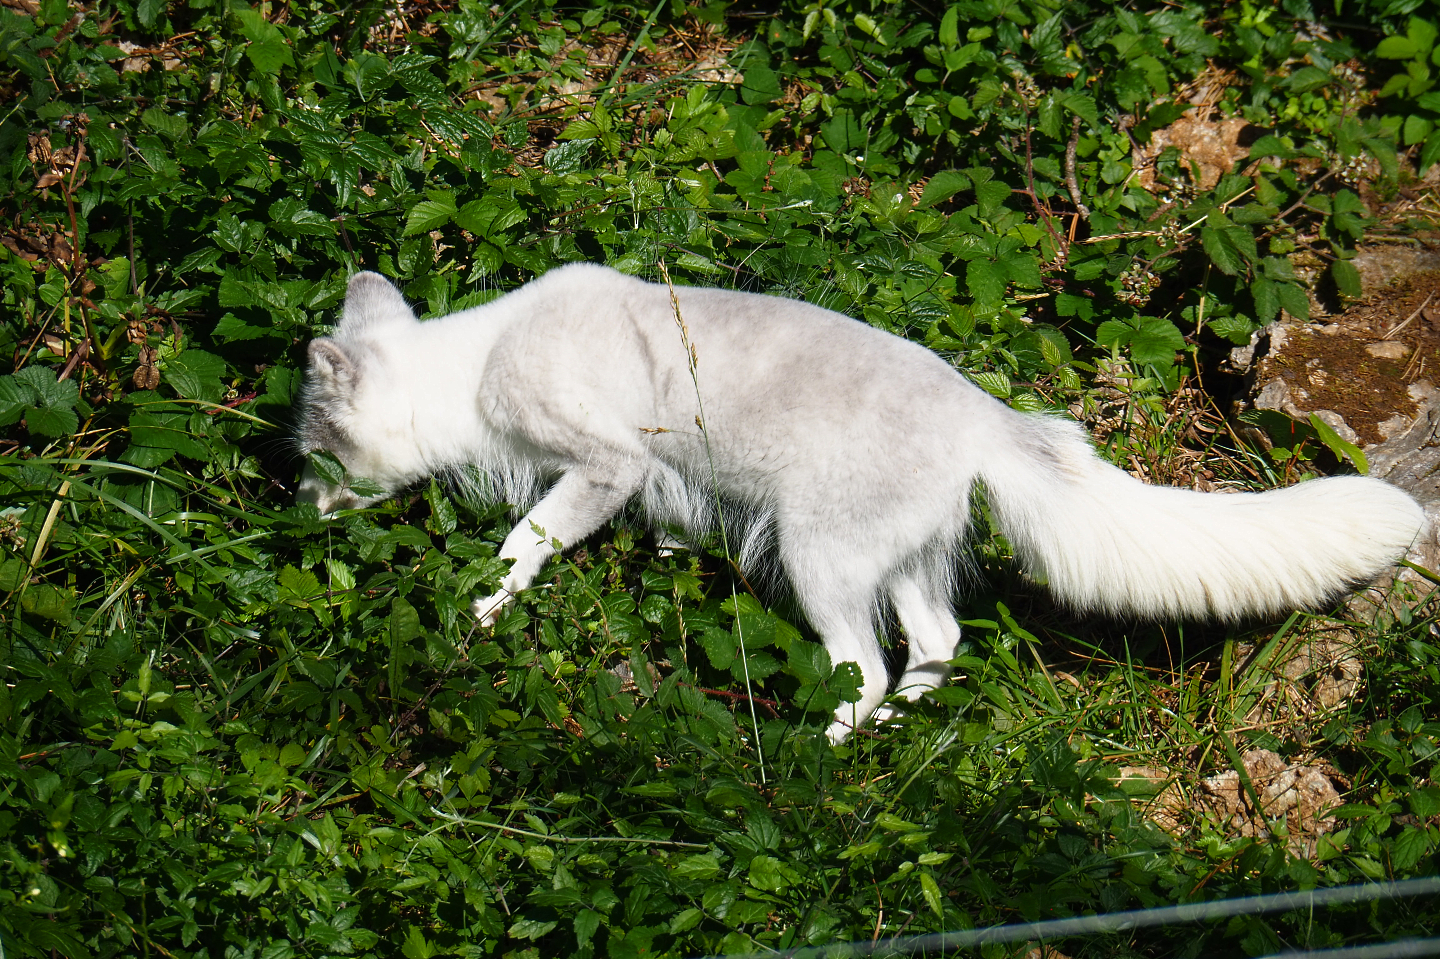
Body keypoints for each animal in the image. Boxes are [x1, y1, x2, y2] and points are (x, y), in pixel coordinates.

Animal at [296, 264, 1426, 741]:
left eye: (313, 450)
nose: (294, 509)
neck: (477, 361)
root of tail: (988, 417)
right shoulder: (658, 483)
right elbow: (663, 528)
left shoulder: (602, 463)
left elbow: (527, 540)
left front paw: (481, 606)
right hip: (902, 560)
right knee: (938, 643)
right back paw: (895, 731)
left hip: (820, 555)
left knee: (872, 666)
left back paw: (823, 754)